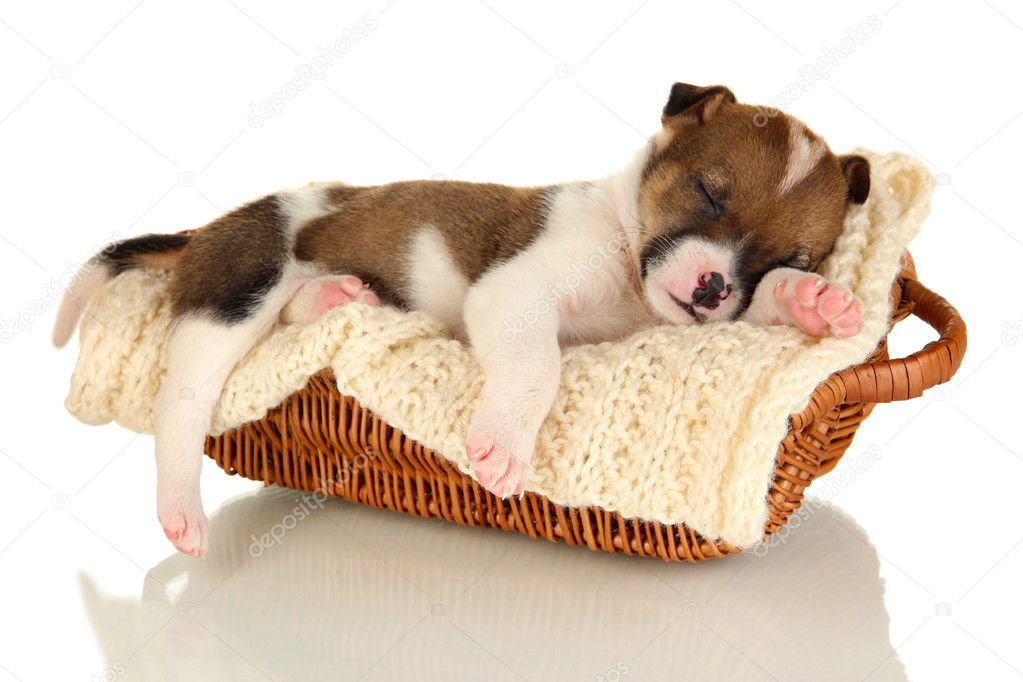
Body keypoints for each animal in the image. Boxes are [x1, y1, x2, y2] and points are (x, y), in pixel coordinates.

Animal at [53, 83, 871, 556]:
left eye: (785, 254)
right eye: (707, 192)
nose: (709, 288)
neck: (628, 271)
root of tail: (205, 229)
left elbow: (760, 307)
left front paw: (812, 300)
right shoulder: (516, 293)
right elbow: (538, 365)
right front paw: (505, 442)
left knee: (293, 312)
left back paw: (340, 298)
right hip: (239, 289)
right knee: (181, 401)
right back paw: (180, 508)